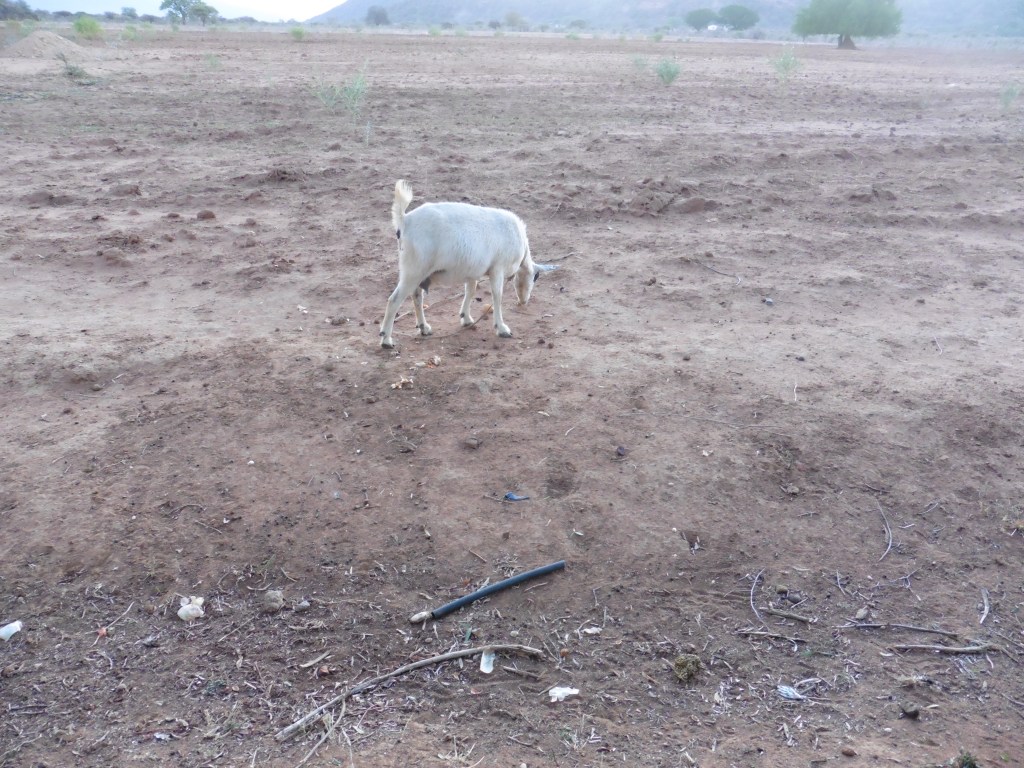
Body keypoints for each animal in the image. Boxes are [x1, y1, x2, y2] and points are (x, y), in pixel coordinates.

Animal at [379, 180, 545, 350]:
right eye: (535, 278)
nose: (523, 302)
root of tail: (404, 220)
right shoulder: (497, 269)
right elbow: (497, 296)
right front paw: (501, 328)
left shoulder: (473, 271)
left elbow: (471, 291)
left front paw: (466, 318)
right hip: (413, 270)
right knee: (394, 300)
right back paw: (386, 339)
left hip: (420, 272)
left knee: (417, 297)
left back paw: (424, 327)